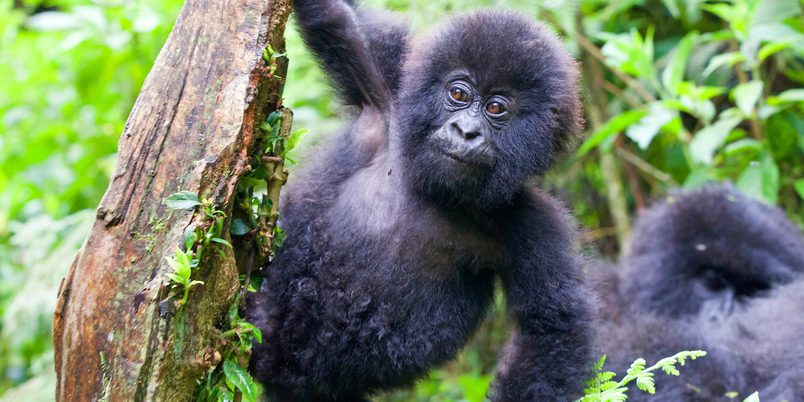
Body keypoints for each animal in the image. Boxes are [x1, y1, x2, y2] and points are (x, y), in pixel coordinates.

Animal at [245, 1, 592, 401]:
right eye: (458, 94)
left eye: (496, 108)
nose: (465, 131)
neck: (435, 188)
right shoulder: (389, 94)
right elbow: (338, 20)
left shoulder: (535, 223)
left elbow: (552, 329)